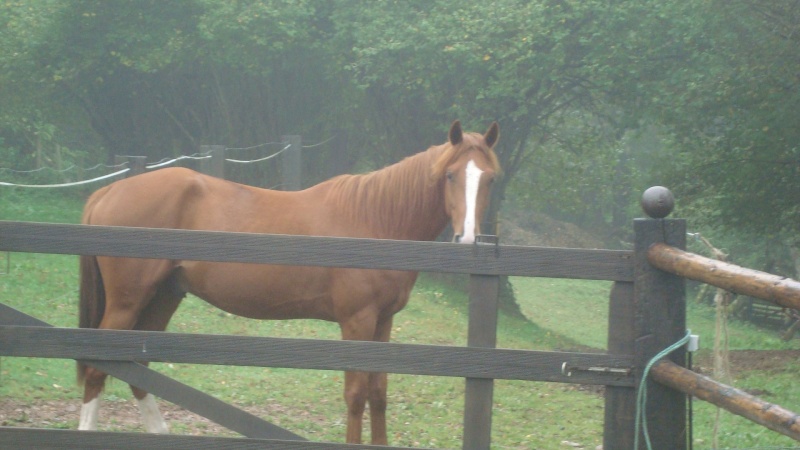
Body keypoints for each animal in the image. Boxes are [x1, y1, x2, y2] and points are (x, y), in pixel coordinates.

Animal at [76, 119, 500, 442]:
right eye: (450, 175)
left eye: (490, 180)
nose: (468, 239)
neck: (374, 221)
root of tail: (109, 190)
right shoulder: (357, 321)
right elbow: (356, 394)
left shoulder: (383, 322)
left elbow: (379, 393)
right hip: (128, 302)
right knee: (98, 370)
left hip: (164, 297)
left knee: (134, 369)